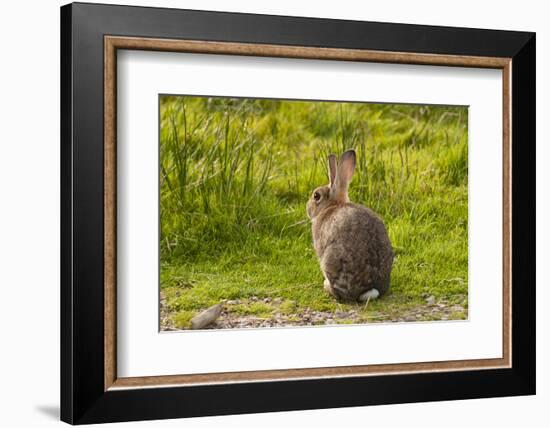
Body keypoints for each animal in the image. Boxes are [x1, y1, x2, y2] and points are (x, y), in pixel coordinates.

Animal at [308, 149, 394, 302]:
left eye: (316, 196)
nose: (307, 209)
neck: (333, 205)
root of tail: (369, 289)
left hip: (331, 259)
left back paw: (326, 286)